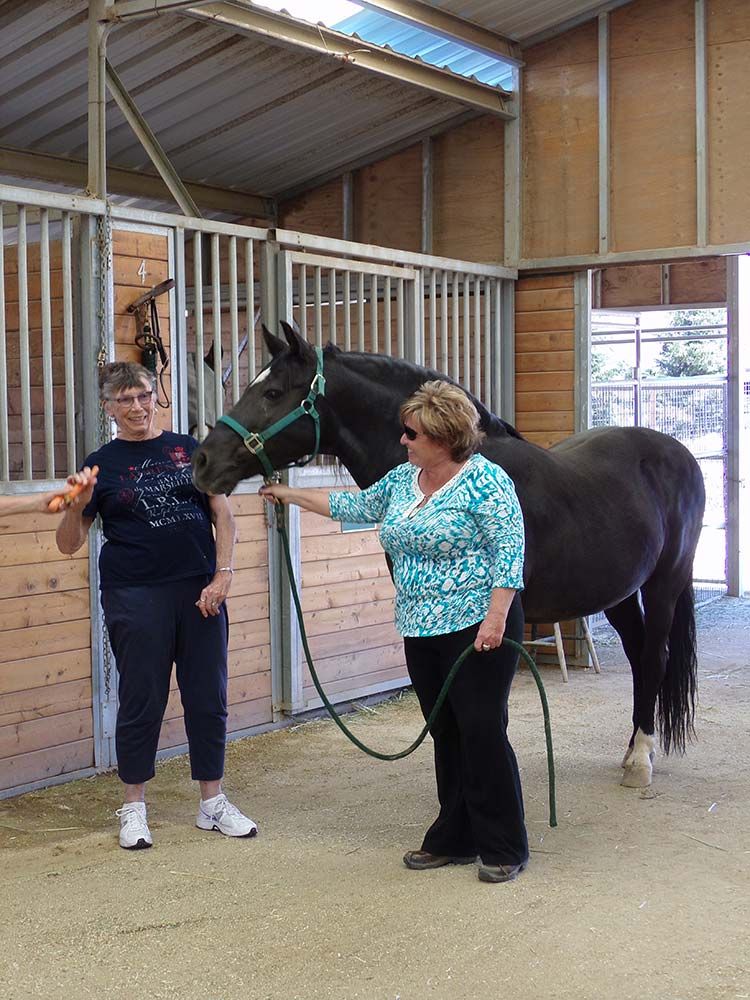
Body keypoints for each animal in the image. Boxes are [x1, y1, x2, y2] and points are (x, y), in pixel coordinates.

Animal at [192, 321, 706, 788]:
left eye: (273, 391)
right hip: (618, 592)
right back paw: (633, 750)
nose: (202, 462)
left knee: (655, 656)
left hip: (664, 584)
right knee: (639, 655)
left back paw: (640, 761)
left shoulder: (504, 617)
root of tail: (677, 453)